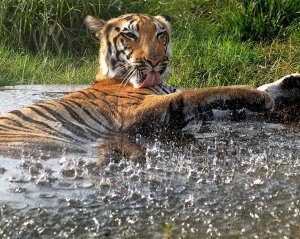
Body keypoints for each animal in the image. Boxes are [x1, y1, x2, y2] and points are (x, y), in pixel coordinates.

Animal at [0, 12, 298, 159]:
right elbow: (203, 92)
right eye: (130, 35)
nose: (155, 60)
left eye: (160, 34)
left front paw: (290, 84)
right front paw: (258, 95)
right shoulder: (138, 113)